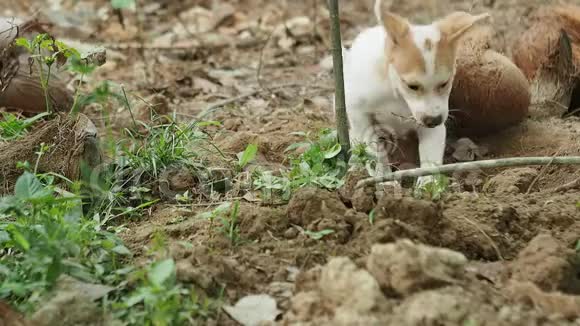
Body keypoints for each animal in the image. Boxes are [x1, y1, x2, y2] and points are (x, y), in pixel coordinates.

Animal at [344, 0, 490, 188]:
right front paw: (383, 178)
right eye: (412, 86)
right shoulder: (358, 112)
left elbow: (430, 154)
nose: (434, 120)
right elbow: (376, 150)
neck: (397, 95)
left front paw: (429, 183)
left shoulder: (433, 124)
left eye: (444, 83)